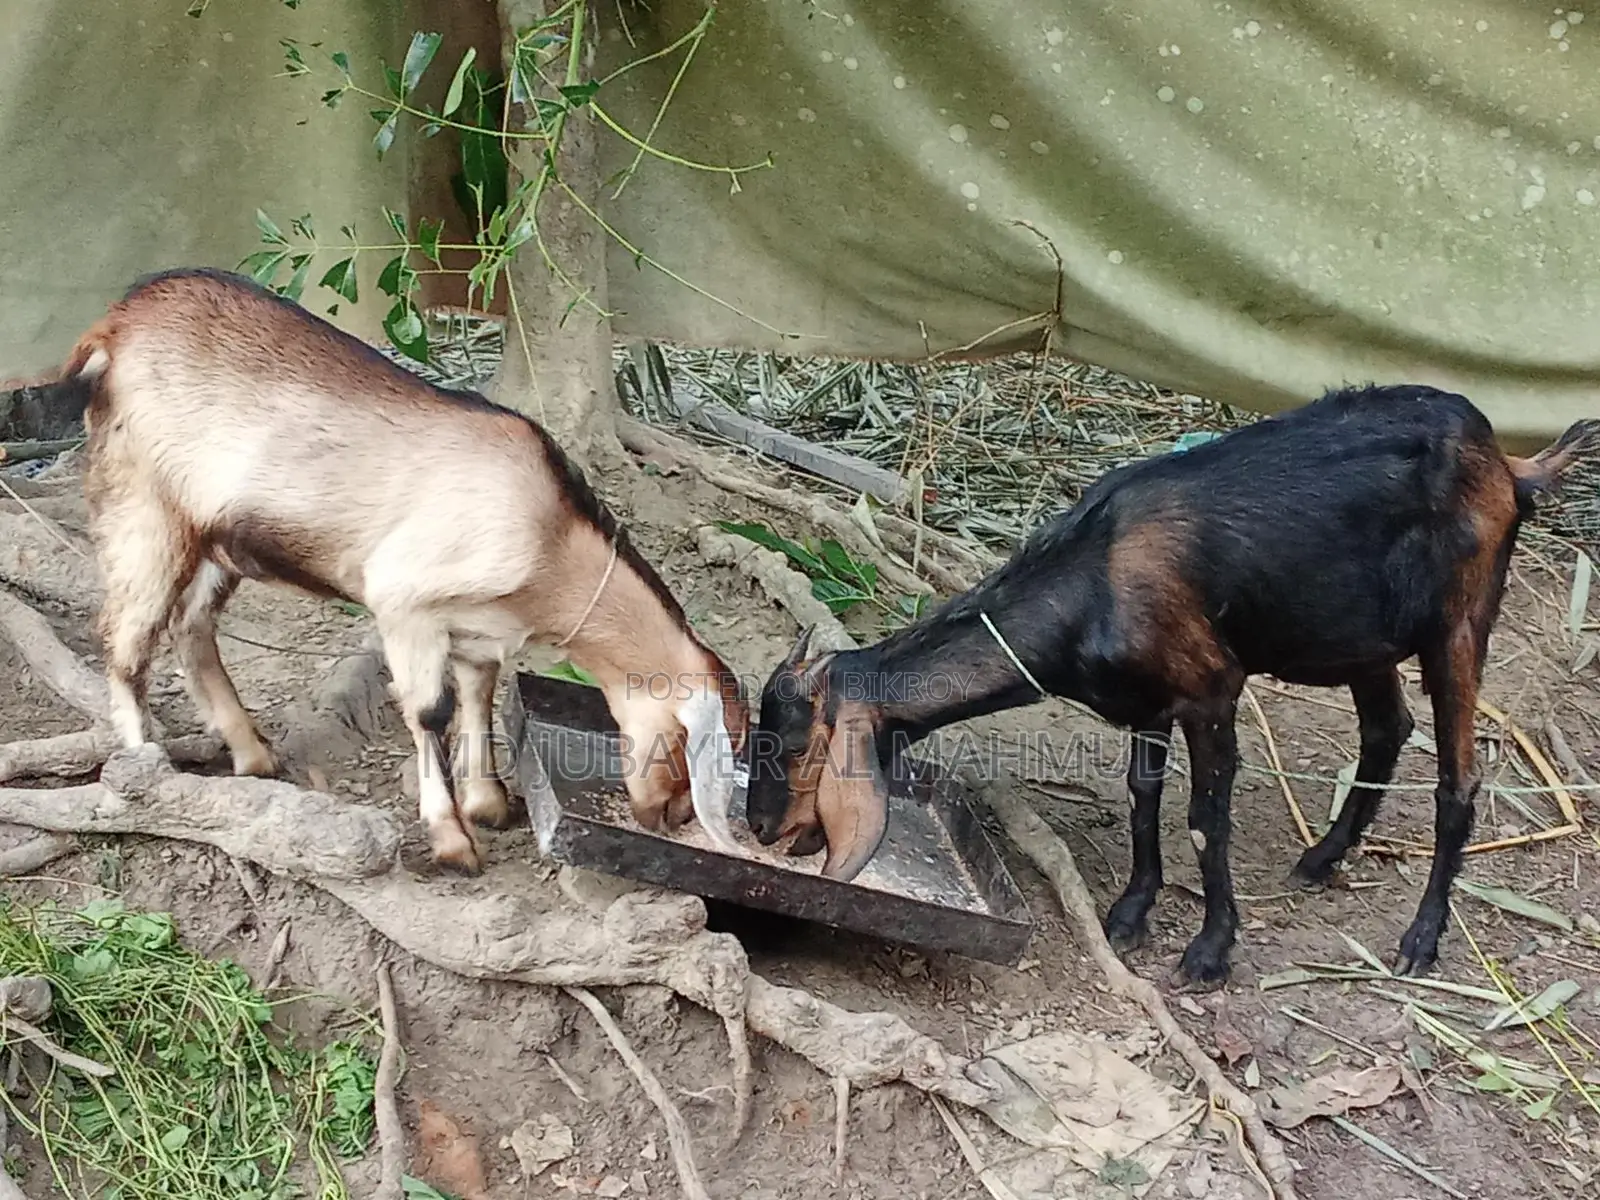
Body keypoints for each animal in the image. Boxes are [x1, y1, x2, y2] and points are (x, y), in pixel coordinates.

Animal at [24, 267, 749, 875]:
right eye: (684, 748)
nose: (666, 817)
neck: (551, 537)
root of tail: (114, 328)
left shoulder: (477, 629)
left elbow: (480, 696)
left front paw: (490, 802)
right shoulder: (405, 601)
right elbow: (431, 711)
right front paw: (454, 840)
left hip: (217, 538)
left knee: (190, 625)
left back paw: (253, 753)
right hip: (144, 504)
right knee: (126, 636)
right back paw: (144, 767)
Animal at [746, 383, 1600, 987]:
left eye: (793, 747)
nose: (756, 827)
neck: (1095, 576)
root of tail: (1510, 465)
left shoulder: (1211, 689)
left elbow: (1203, 819)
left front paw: (1210, 951)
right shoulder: (1146, 703)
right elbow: (1142, 797)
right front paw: (1130, 912)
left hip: (1459, 621)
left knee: (1460, 776)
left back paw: (1420, 940)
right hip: (1357, 638)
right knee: (1386, 728)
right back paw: (1323, 857)